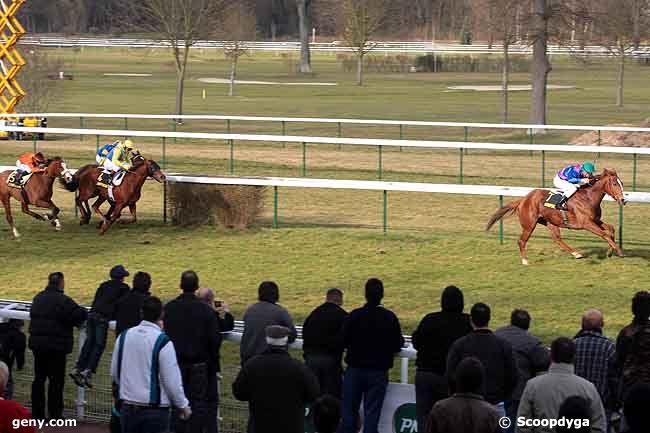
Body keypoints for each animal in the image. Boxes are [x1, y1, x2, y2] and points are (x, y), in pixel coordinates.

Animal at [484, 168, 624, 264]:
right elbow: (604, 234)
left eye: (621, 183)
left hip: (551, 222)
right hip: (529, 224)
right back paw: (525, 261)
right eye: (615, 184)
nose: (623, 200)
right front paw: (619, 251)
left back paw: (576, 254)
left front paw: (610, 251)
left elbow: (611, 229)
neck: (588, 197)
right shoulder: (586, 223)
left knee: (557, 239)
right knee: (522, 241)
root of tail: (523, 200)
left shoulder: (596, 220)